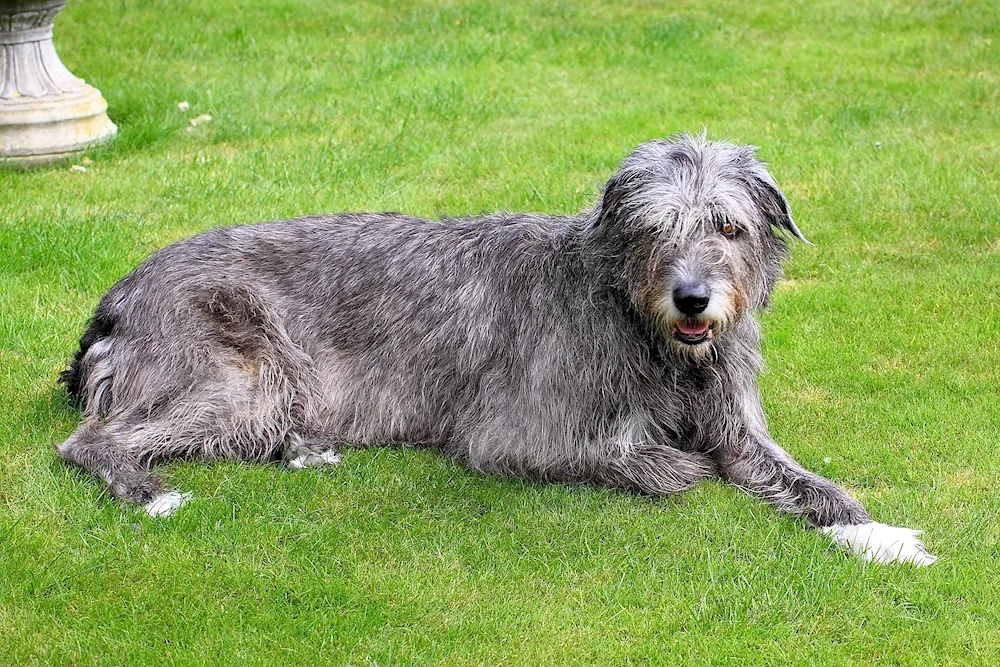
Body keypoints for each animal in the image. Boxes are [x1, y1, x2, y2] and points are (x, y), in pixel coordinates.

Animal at [58, 133, 936, 568]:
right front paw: (668, 461)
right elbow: (637, 455)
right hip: (236, 367)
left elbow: (804, 479)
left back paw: (304, 448)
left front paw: (878, 534)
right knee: (91, 440)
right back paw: (151, 491)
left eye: (729, 226)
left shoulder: (736, 420)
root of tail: (115, 297)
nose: (694, 298)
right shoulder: (510, 431)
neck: (646, 331)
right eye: (656, 226)